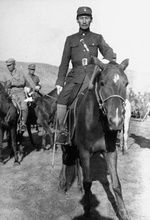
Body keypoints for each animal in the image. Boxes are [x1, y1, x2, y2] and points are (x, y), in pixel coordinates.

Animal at [58, 57, 130, 219]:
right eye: (102, 83)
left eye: (126, 83)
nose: (116, 121)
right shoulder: (85, 151)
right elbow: (88, 182)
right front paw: (87, 210)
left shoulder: (110, 152)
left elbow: (116, 184)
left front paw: (123, 213)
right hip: (65, 143)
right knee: (65, 159)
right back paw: (62, 182)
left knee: (75, 162)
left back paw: (77, 185)